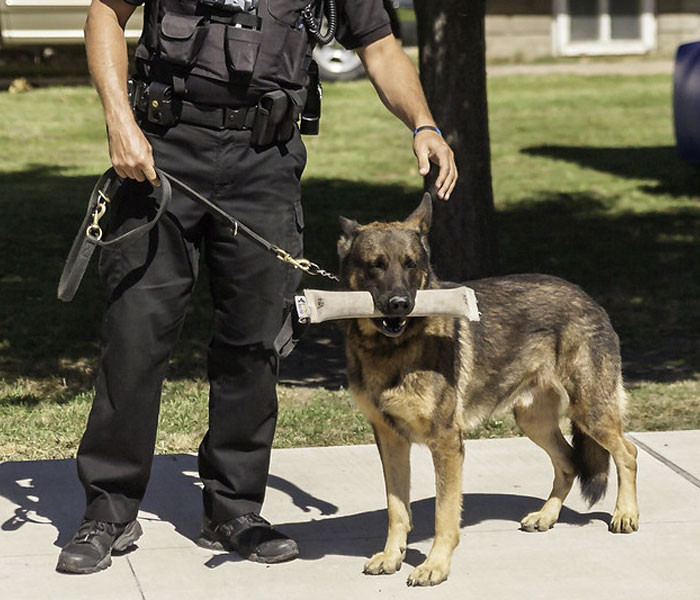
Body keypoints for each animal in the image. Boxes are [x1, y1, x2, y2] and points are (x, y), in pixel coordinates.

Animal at [340, 196, 640, 584]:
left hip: (591, 413)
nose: (400, 304)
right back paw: (547, 516)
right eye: (375, 266)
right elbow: (397, 510)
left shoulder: (447, 444)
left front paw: (435, 566)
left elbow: (444, 515)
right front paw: (392, 557)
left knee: (628, 453)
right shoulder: (390, 441)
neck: (390, 349)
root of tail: (587, 297)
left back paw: (625, 513)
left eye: (411, 265)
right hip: (534, 422)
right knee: (569, 462)